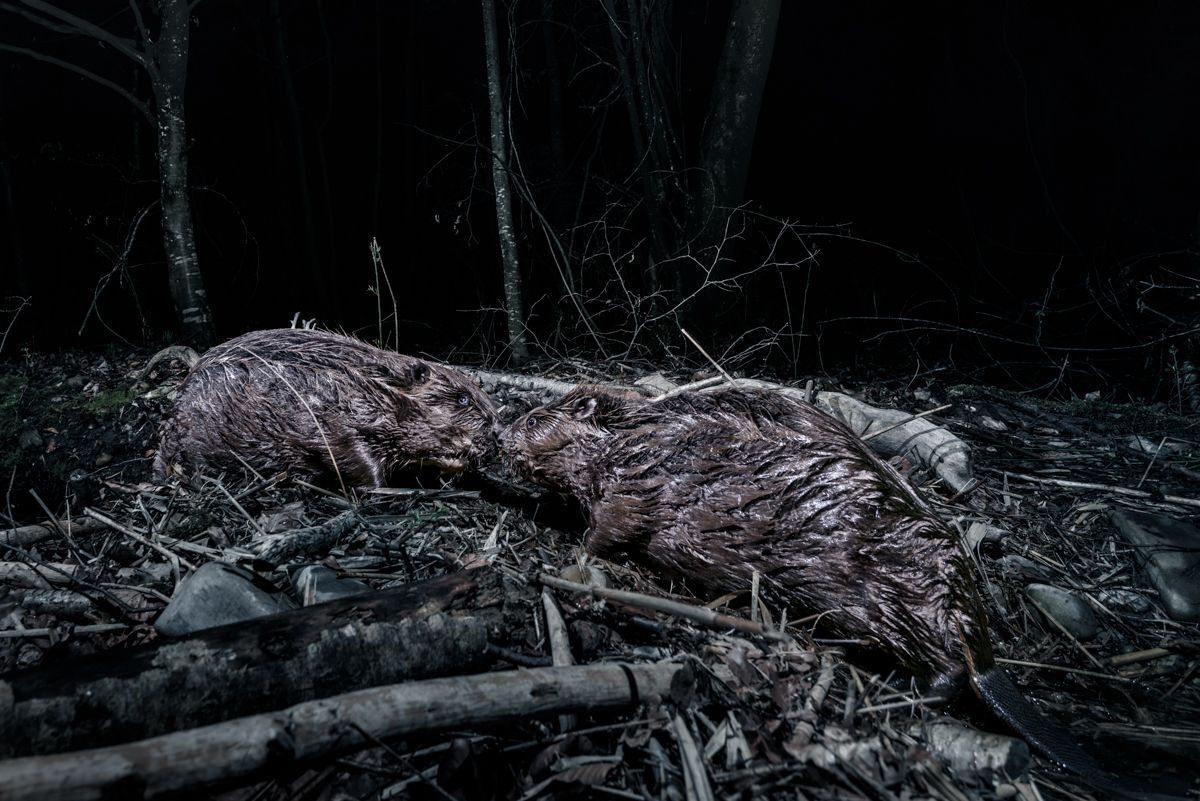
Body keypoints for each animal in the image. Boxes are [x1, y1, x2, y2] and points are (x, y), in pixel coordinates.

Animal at [501, 383, 1185, 796]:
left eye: (535, 418)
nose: (500, 435)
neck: (631, 437)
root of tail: (985, 652)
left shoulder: (639, 483)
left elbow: (610, 527)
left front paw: (574, 554)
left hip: (880, 599)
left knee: (943, 672)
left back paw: (900, 694)